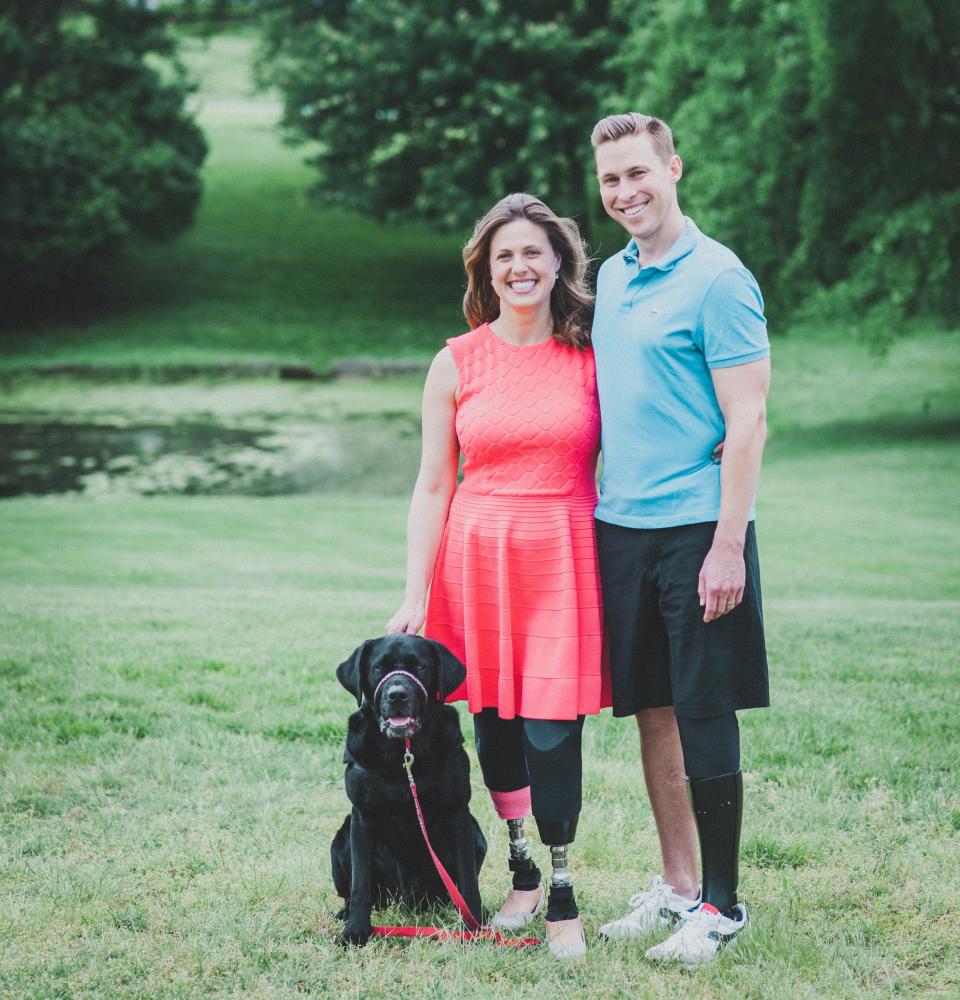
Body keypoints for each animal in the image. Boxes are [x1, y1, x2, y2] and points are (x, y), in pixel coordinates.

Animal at [332, 632, 488, 944]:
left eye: (420, 668)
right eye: (378, 667)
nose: (397, 695)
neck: (403, 754)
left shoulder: (458, 814)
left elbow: (468, 880)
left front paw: (474, 925)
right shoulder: (362, 817)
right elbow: (360, 884)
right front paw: (355, 931)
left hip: (478, 835)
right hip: (340, 838)